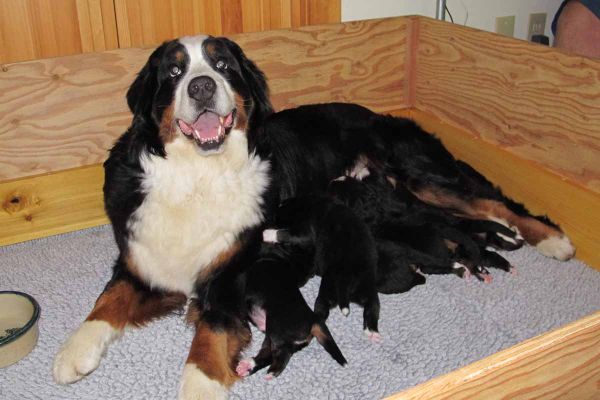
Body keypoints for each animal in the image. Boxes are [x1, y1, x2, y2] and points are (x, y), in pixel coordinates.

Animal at [238, 244, 346, 378]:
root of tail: (313, 319)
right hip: (275, 334)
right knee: (268, 353)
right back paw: (248, 365)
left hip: (276, 327)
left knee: (282, 354)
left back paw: (272, 372)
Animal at [264, 195, 382, 342]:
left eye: (278, 218)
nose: (271, 221)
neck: (307, 204)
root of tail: (346, 278)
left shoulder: (305, 232)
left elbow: (285, 234)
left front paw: (268, 234)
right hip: (368, 289)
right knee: (372, 308)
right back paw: (372, 331)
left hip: (327, 289)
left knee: (321, 312)